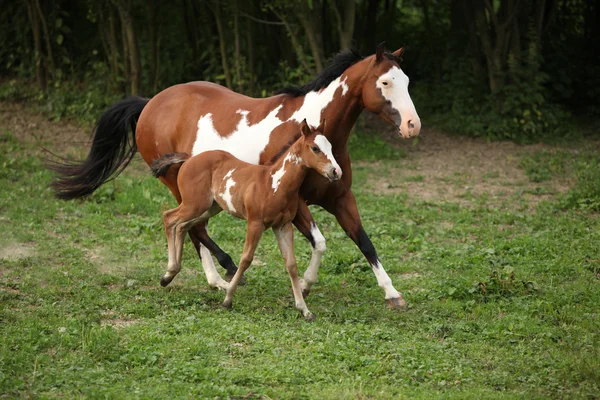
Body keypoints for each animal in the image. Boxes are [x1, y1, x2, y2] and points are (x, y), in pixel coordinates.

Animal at [150, 120, 340, 320]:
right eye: (315, 148)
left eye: (330, 147)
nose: (335, 172)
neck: (274, 184)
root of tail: (188, 159)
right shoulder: (255, 223)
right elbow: (246, 259)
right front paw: (227, 300)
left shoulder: (283, 226)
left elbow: (291, 264)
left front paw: (304, 309)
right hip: (194, 205)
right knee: (169, 217)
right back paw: (169, 273)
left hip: (209, 208)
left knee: (182, 226)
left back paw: (169, 276)